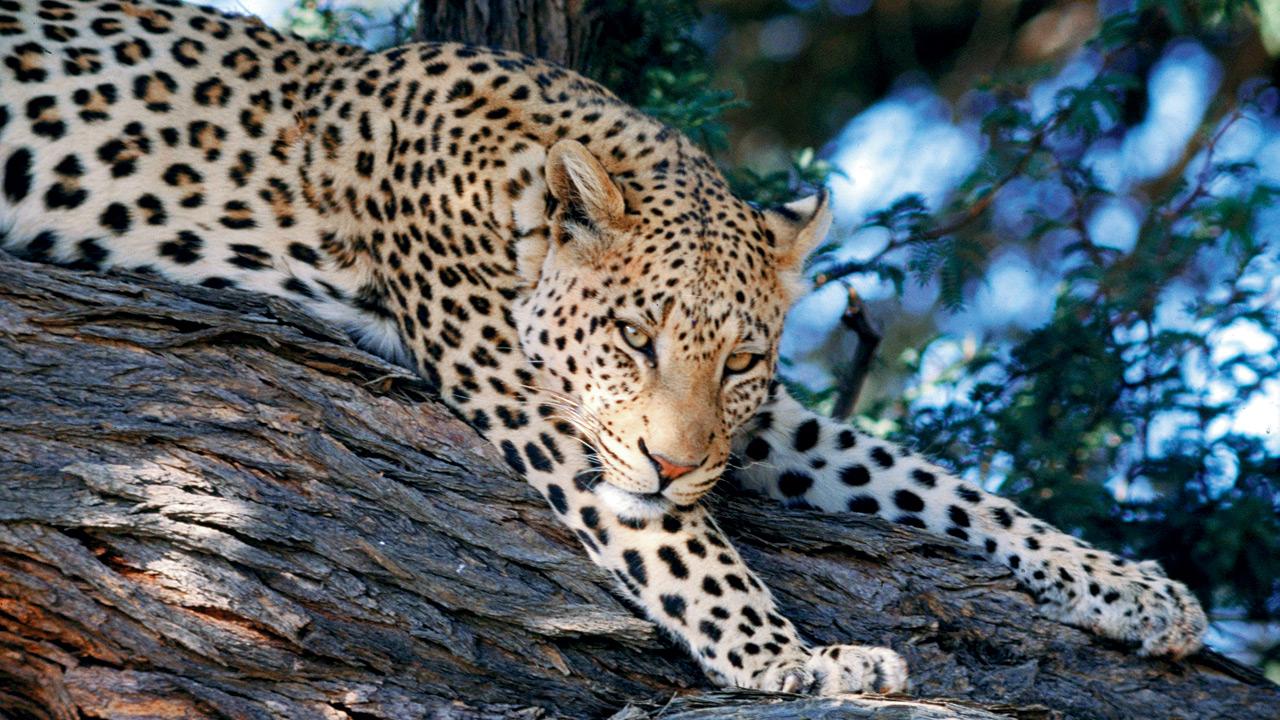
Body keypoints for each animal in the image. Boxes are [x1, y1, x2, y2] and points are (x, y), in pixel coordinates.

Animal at [0, 0, 1206, 695]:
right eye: (632, 338)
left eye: (739, 363)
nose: (671, 466)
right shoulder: (538, 403)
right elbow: (689, 554)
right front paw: (798, 660)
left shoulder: (745, 425)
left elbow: (927, 479)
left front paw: (1131, 590)